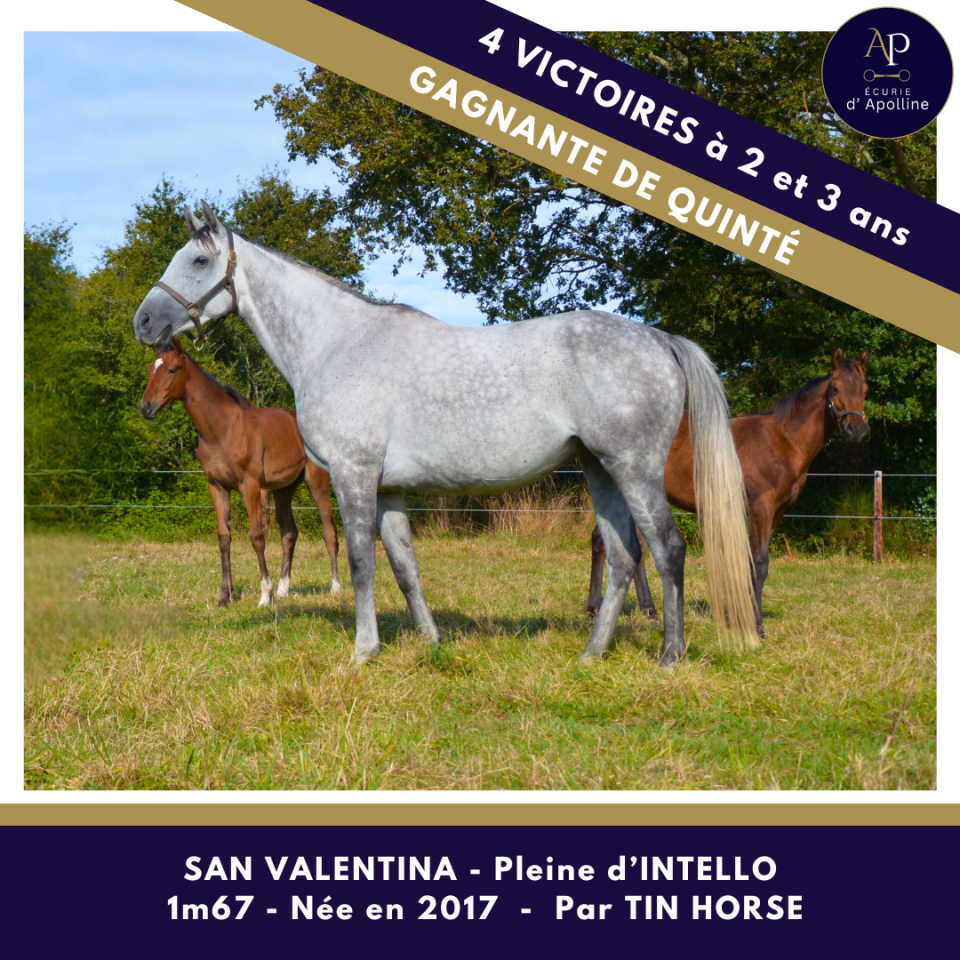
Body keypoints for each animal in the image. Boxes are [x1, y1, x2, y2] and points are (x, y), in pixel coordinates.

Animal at [139, 336, 341, 607]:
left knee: (329, 531)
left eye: (172, 370)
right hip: (283, 490)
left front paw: (264, 596)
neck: (222, 430)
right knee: (289, 534)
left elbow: (256, 537)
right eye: (151, 369)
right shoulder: (217, 486)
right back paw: (283, 590)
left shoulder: (250, 486)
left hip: (316, 480)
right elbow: (224, 538)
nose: (146, 408)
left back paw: (335, 587)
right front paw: (225, 596)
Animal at [587, 348, 871, 635]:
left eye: (865, 390)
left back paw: (649, 611)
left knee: (636, 547)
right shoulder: (761, 507)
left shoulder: (777, 512)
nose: (857, 430)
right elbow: (759, 562)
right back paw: (594, 608)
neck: (782, 440)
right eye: (836, 388)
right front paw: (756, 625)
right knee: (601, 541)